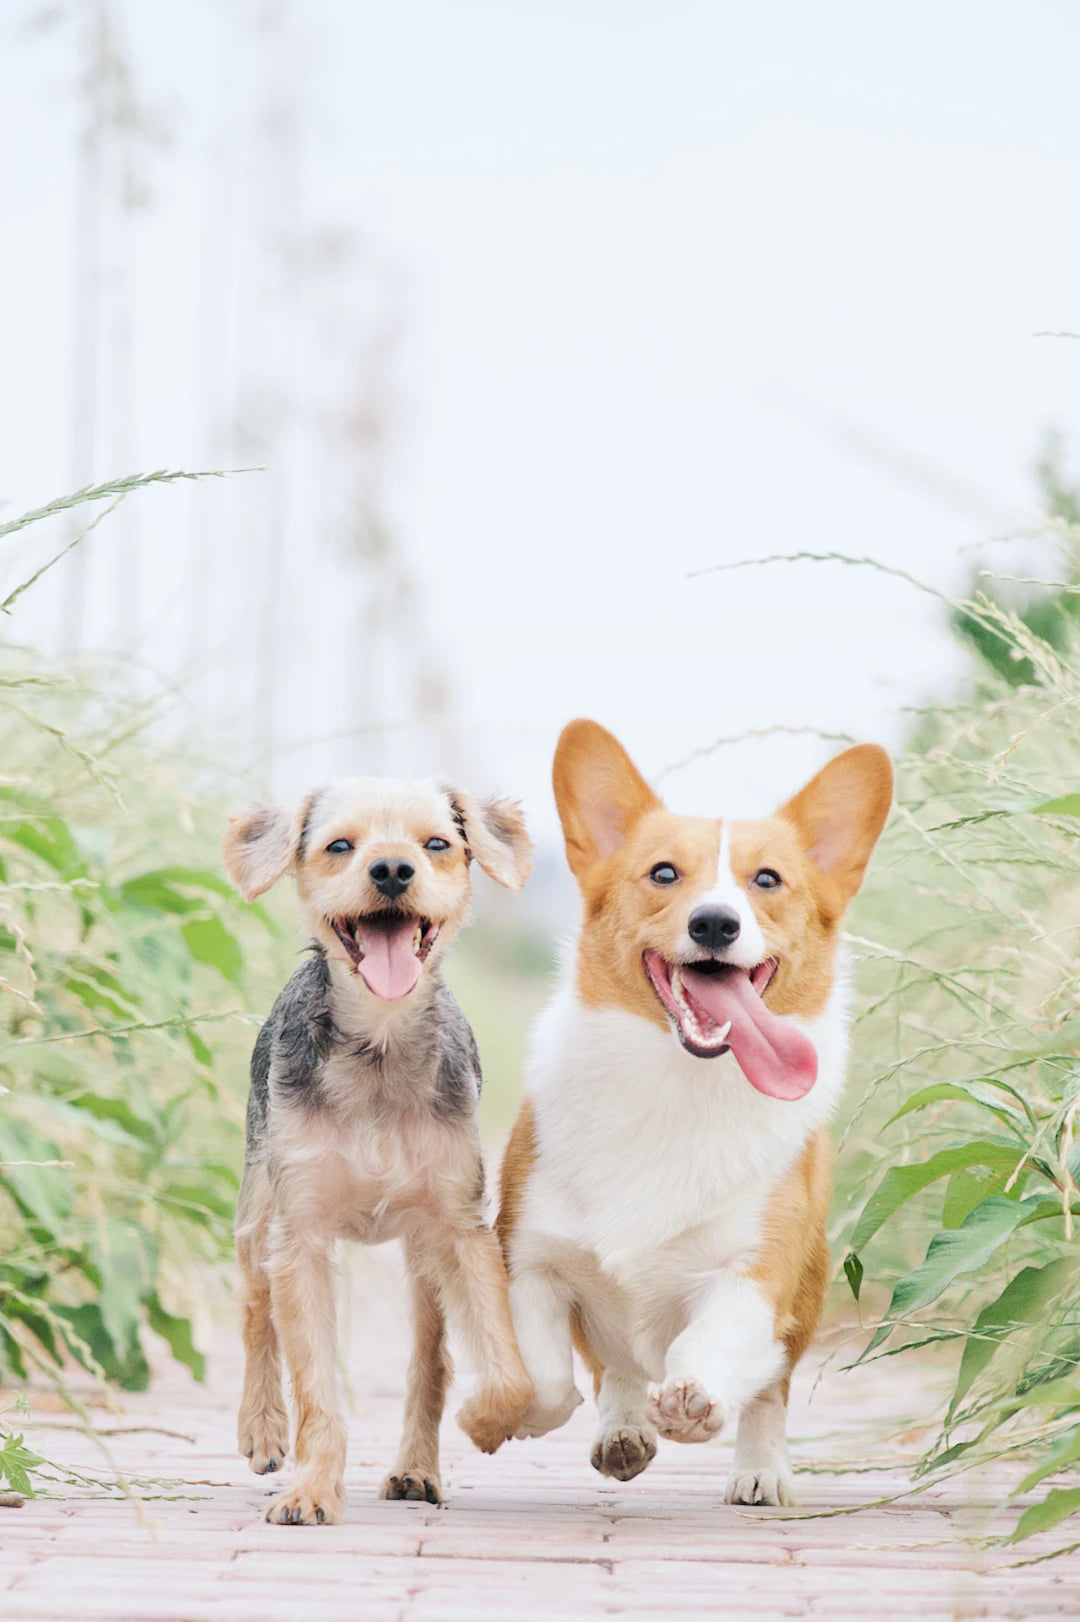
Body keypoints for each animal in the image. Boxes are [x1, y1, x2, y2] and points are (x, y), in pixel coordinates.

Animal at [222, 778, 535, 1524]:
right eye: (340, 845)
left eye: (438, 844)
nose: (392, 870)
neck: (380, 1046)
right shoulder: (300, 1235)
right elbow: (314, 1385)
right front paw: (310, 1489)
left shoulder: (460, 1228)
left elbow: (506, 1370)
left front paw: (488, 1421)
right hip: (257, 1211)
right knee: (254, 1310)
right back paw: (262, 1428)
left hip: (422, 1260)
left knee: (431, 1360)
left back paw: (416, 1470)